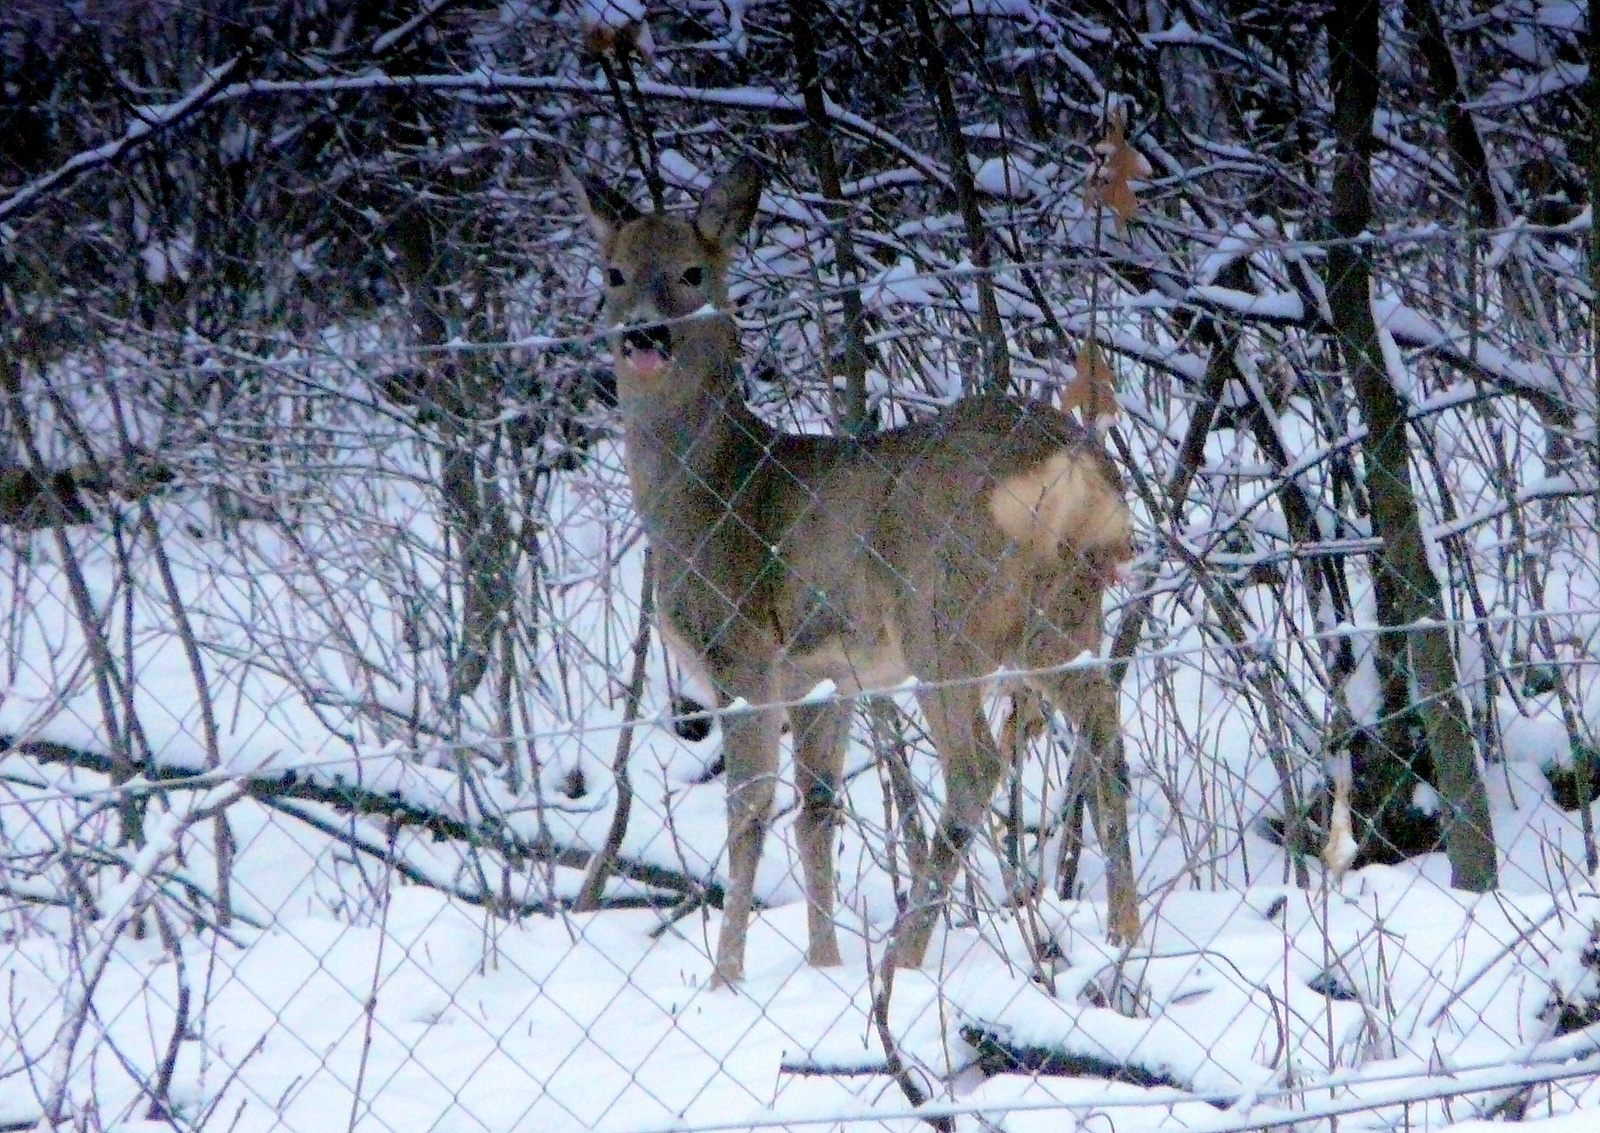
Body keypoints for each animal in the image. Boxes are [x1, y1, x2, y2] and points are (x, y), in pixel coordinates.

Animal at [576, 156, 1139, 979]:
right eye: (613, 272)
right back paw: (1126, 931)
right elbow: (817, 813)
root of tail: (1075, 470)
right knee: (1103, 728)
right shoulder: (826, 675)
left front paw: (726, 975)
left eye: (692, 271)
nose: (645, 333)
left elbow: (749, 812)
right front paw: (822, 963)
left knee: (975, 766)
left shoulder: (745, 652)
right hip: (1060, 614)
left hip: (945, 614)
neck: (716, 490)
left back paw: (904, 957)